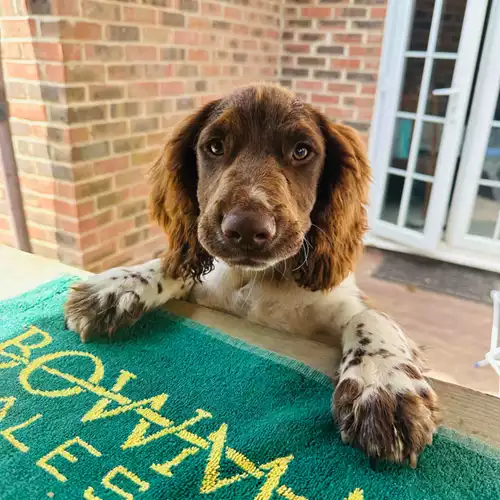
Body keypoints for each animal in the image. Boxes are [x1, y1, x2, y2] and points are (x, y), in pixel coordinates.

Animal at [64, 83, 440, 468]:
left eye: (301, 151)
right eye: (215, 147)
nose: (245, 229)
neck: (258, 278)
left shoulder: (349, 303)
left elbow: (371, 317)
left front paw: (382, 384)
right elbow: (173, 265)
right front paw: (114, 287)